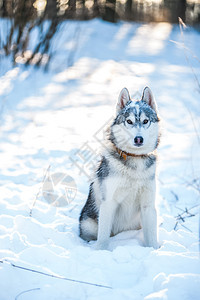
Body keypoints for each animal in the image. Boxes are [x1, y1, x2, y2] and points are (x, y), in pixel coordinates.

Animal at [79, 86, 160, 251]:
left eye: (145, 121)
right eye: (129, 121)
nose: (138, 139)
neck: (135, 159)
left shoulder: (148, 206)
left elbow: (151, 238)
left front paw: (154, 250)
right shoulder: (108, 203)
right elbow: (103, 237)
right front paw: (101, 251)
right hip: (89, 224)